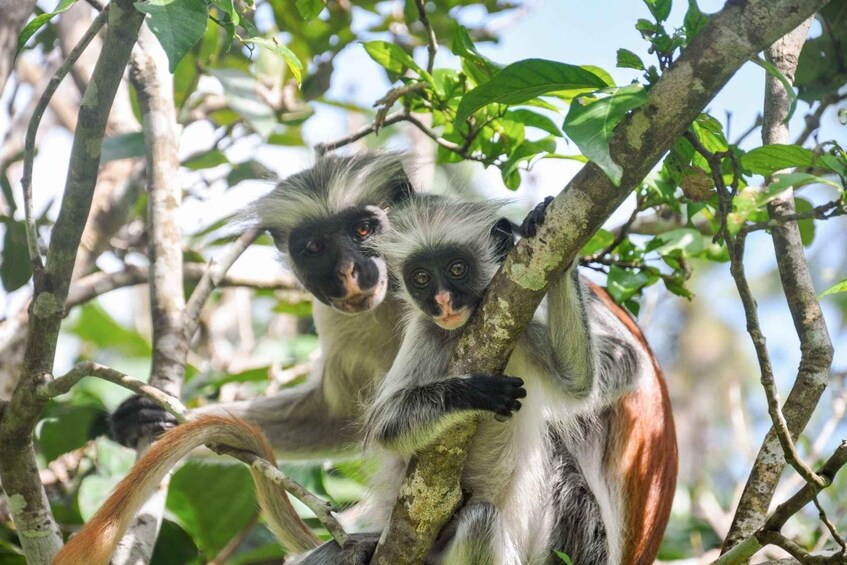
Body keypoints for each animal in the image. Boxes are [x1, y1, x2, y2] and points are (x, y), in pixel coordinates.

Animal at [303, 195, 677, 564]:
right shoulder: (427, 331)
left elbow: (579, 382)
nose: (441, 301)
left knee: (481, 518)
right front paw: (475, 392)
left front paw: (551, 242)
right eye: (421, 278)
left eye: (457, 269)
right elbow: (387, 426)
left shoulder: (525, 329)